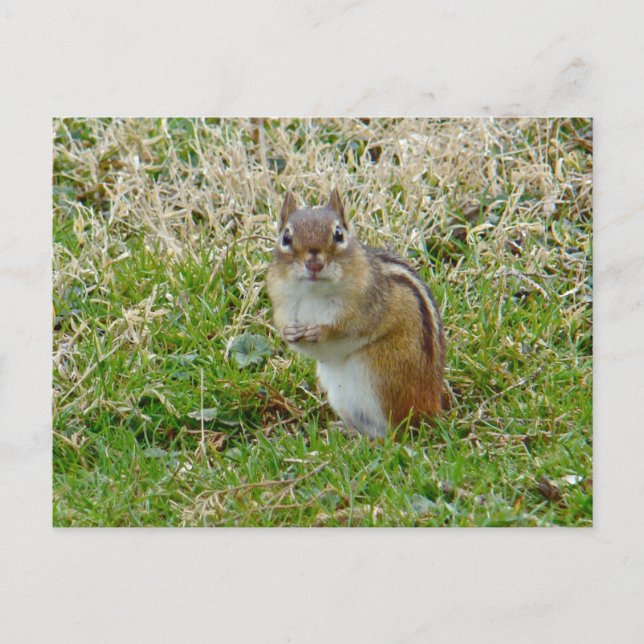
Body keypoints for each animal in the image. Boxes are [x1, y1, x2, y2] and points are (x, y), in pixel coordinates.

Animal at [266, 189, 446, 439]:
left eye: (338, 234)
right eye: (286, 237)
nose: (314, 264)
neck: (314, 292)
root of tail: (431, 407)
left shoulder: (367, 306)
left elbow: (348, 328)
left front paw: (321, 332)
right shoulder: (283, 304)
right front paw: (290, 332)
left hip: (381, 376)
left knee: (393, 434)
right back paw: (345, 430)